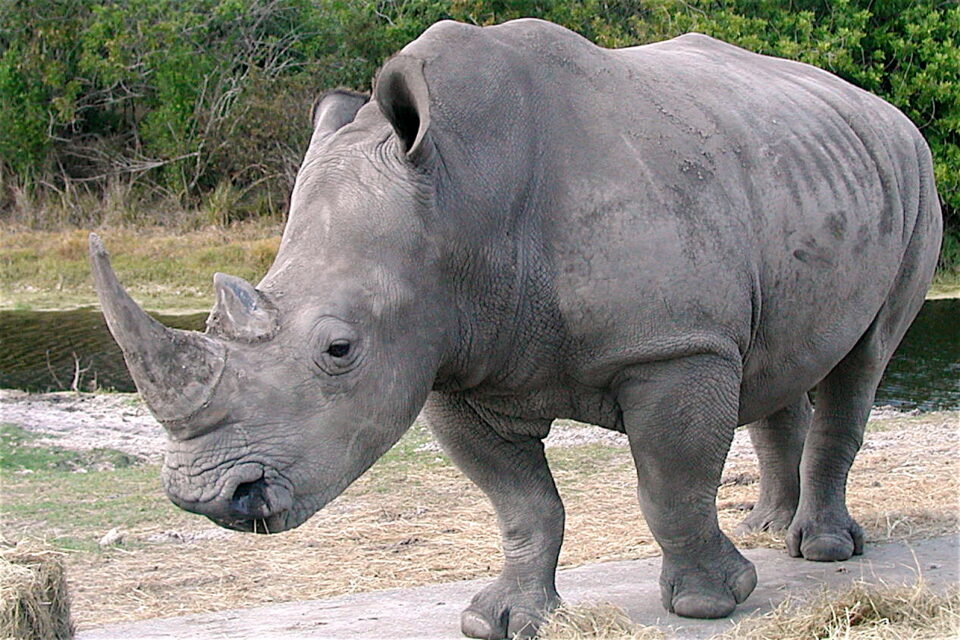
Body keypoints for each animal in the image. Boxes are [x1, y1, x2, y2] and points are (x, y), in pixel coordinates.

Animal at [90, 18, 942, 639]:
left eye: (339, 349)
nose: (207, 497)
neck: (461, 192)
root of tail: (879, 108)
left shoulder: (673, 346)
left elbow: (670, 484)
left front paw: (711, 603)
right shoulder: (449, 358)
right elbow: (521, 503)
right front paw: (498, 618)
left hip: (913, 176)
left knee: (861, 363)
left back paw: (820, 548)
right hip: (800, 170)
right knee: (778, 358)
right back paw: (764, 526)